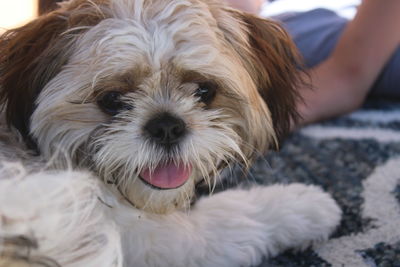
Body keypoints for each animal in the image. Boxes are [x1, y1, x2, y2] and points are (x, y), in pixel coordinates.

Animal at [0, 0, 340, 266]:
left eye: (204, 91)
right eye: (111, 100)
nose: (166, 126)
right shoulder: (136, 236)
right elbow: (232, 216)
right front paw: (306, 205)